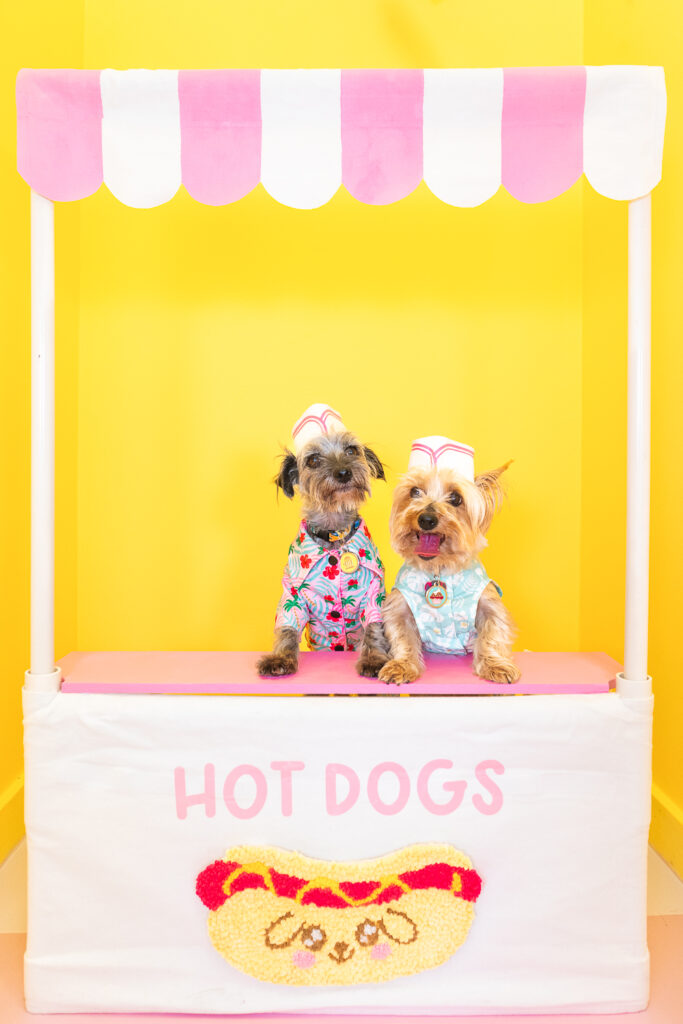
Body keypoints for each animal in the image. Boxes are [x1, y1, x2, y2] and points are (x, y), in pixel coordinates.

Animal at [378, 434, 518, 684]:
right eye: (415, 491)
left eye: (456, 498)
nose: (426, 519)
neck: (438, 569)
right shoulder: (399, 605)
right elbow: (402, 636)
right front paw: (401, 666)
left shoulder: (489, 602)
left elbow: (493, 632)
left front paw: (496, 665)